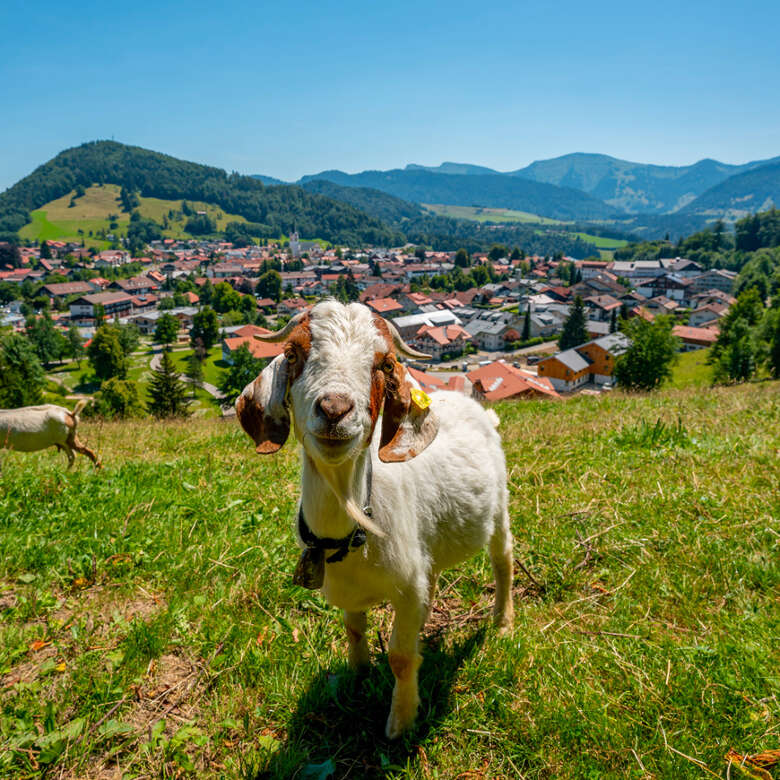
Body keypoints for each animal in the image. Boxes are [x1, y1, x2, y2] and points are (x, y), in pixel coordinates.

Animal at [236, 302, 516, 740]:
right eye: (294, 353)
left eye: (384, 364)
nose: (335, 409)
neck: (355, 525)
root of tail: (473, 405)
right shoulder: (356, 589)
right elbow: (354, 630)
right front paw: (358, 676)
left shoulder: (406, 587)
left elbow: (401, 657)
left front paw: (401, 721)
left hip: (499, 506)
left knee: (503, 558)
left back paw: (503, 623)